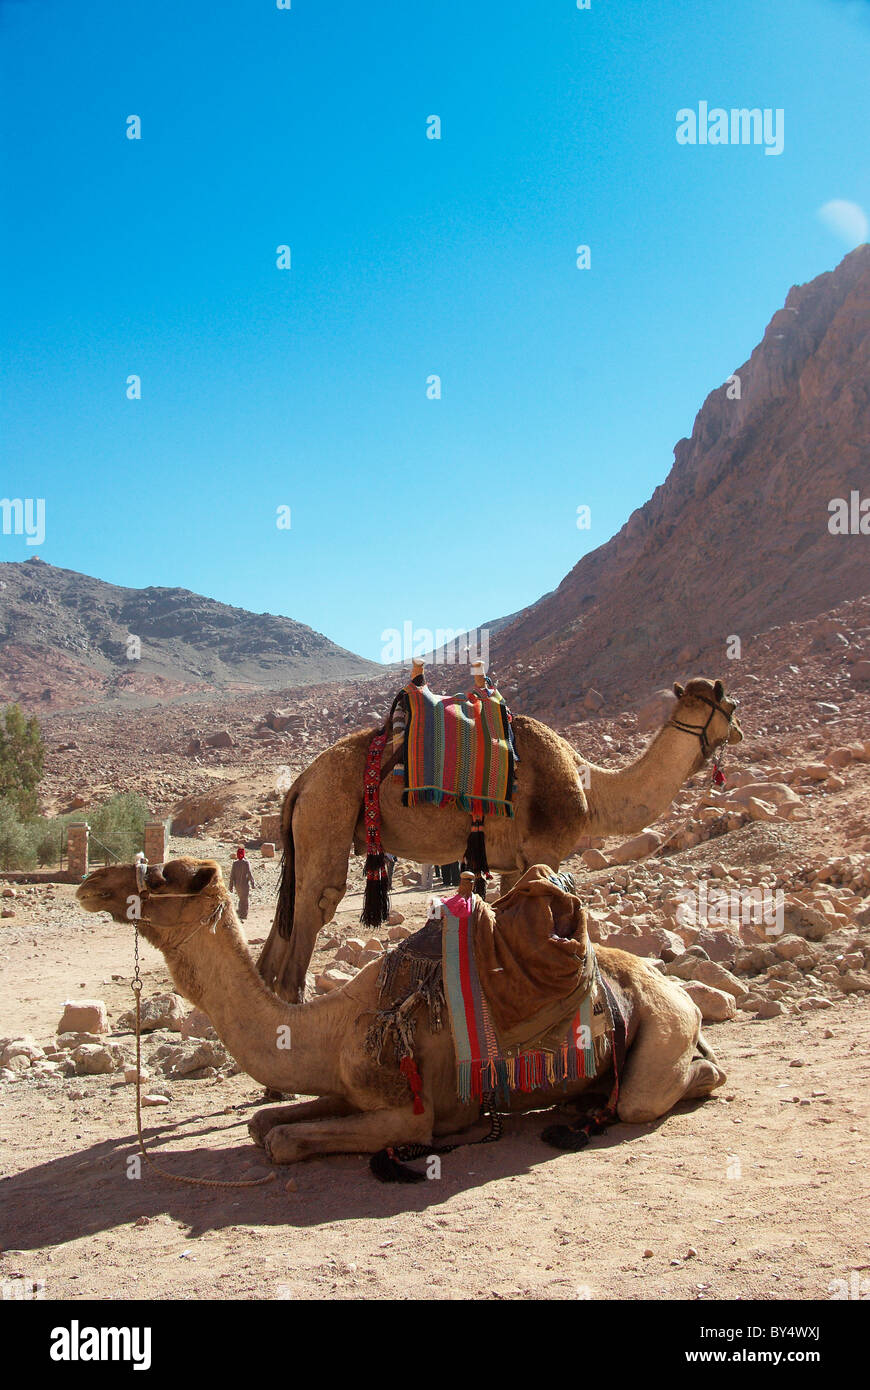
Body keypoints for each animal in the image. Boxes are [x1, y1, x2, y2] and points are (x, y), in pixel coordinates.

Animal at [76, 856, 722, 1162]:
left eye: (166, 876)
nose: (90, 882)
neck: (333, 1026)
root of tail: (676, 991)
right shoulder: (350, 1085)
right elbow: (264, 1124)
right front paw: (267, 1118)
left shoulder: (410, 1114)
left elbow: (282, 1141)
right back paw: (583, 1101)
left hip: (662, 1029)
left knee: (657, 1092)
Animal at [257, 672, 739, 1000]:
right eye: (730, 705)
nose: (737, 729)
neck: (589, 788)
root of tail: (301, 782)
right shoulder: (546, 850)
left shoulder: (513, 863)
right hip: (326, 819)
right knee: (310, 922)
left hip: (306, 836)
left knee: (280, 934)